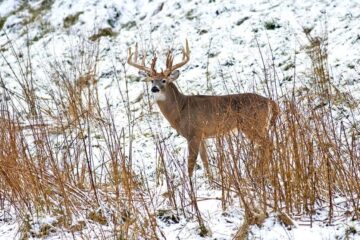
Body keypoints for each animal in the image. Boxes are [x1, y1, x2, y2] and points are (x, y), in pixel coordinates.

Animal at [128, 39, 280, 178]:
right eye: (152, 80)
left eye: (164, 80)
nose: (154, 88)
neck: (181, 109)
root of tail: (269, 101)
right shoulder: (202, 135)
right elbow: (205, 160)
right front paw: (211, 180)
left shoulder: (193, 133)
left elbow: (190, 164)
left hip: (252, 124)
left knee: (268, 144)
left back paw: (261, 172)